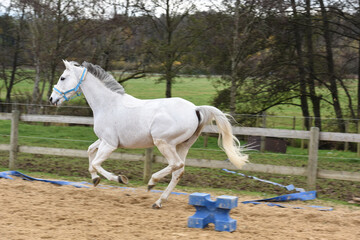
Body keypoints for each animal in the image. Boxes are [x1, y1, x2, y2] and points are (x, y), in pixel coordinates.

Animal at [50, 61, 248, 209]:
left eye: (62, 77)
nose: (52, 99)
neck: (107, 104)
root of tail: (195, 109)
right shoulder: (103, 140)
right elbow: (90, 152)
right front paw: (95, 180)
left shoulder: (110, 144)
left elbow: (97, 163)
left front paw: (120, 178)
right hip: (182, 145)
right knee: (179, 171)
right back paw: (158, 202)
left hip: (164, 142)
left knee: (176, 164)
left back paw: (152, 182)